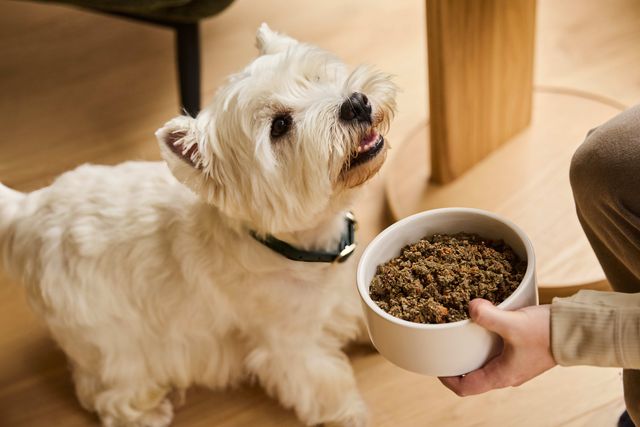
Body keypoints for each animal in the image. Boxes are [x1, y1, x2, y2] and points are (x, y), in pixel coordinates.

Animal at [0, 24, 396, 427]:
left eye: (315, 77)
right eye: (280, 126)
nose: (356, 104)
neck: (296, 248)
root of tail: (26, 211)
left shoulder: (340, 296)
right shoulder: (288, 343)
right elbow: (324, 385)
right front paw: (352, 416)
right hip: (106, 336)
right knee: (107, 388)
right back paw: (146, 411)